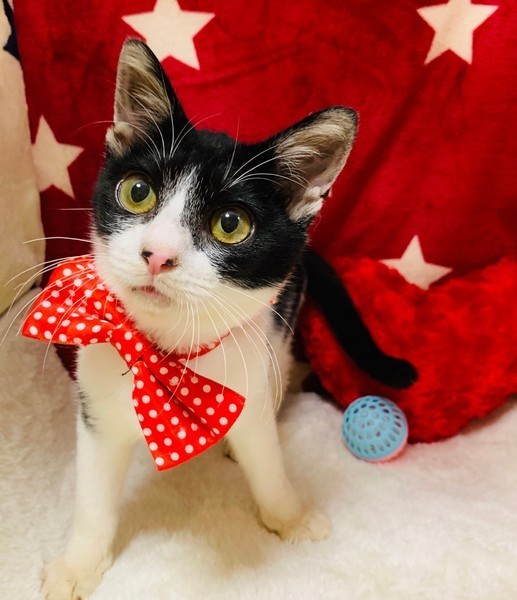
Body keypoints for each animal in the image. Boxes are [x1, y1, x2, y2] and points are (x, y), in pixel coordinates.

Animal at [41, 39, 415, 599]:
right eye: (137, 192)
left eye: (230, 224)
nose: (157, 254)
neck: (167, 353)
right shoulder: (96, 404)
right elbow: (93, 495)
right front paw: (78, 564)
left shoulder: (251, 372)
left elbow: (266, 457)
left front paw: (289, 514)